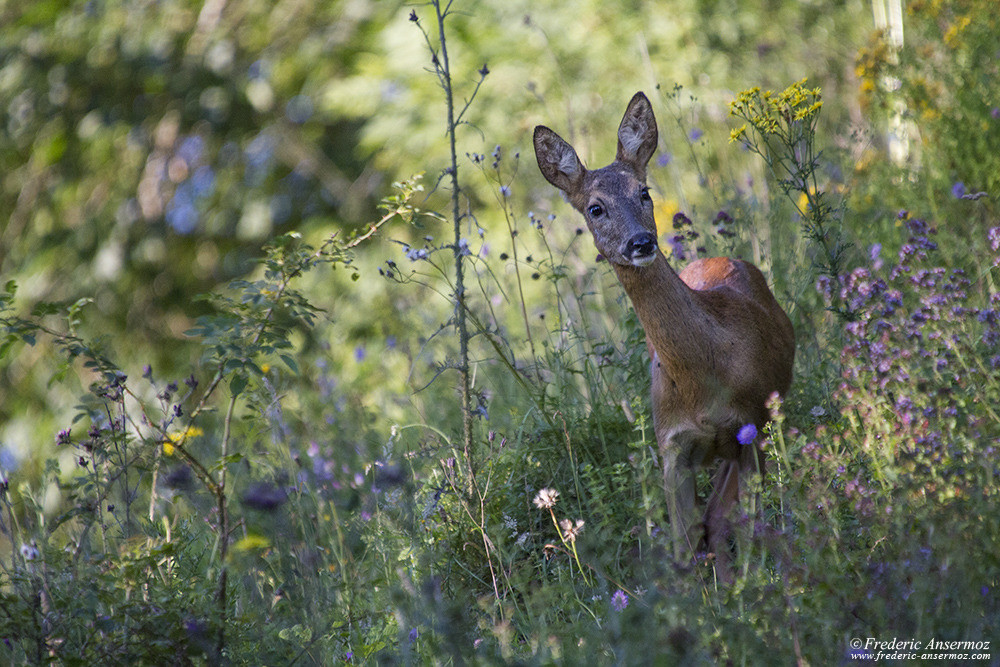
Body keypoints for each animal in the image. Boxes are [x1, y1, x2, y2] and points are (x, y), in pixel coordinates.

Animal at [536, 92, 792, 580]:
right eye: (595, 208)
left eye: (644, 192)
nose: (640, 242)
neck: (704, 379)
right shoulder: (671, 445)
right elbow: (683, 542)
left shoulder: (751, 426)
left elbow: (732, 520)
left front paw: (749, 587)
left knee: (725, 516)